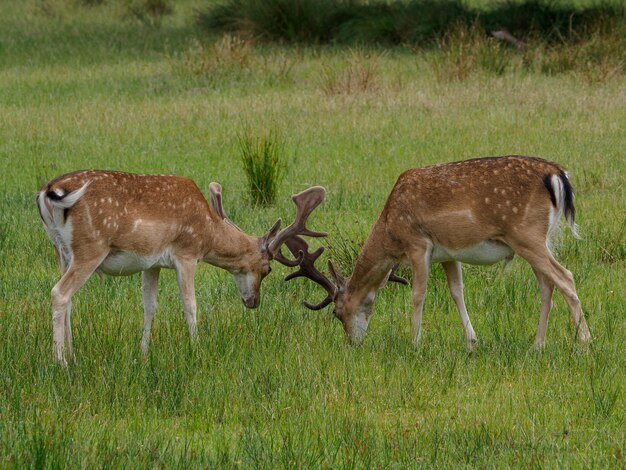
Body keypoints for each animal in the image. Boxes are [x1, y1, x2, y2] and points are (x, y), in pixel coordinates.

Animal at [37, 171, 326, 366]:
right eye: (267, 270)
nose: (253, 301)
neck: (209, 231)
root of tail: (47, 191)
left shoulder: (151, 262)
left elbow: (149, 306)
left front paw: (143, 352)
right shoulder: (186, 253)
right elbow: (190, 304)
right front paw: (196, 348)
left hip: (60, 250)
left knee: (68, 298)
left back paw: (72, 354)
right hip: (91, 247)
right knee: (59, 292)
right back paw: (60, 361)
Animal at [282, 157, 588, 348]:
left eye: (336, 312)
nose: (351, 343)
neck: (390, 229)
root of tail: (557, 175)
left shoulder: (418, 244)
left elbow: (418, 294)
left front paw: (414, 342)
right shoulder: (449, 254)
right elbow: (456, 291)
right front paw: (471, 341)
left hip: (526, 235)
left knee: (566, 277)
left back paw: (585, 343)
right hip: (539, 239)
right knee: (547, 284)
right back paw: (538, 344)